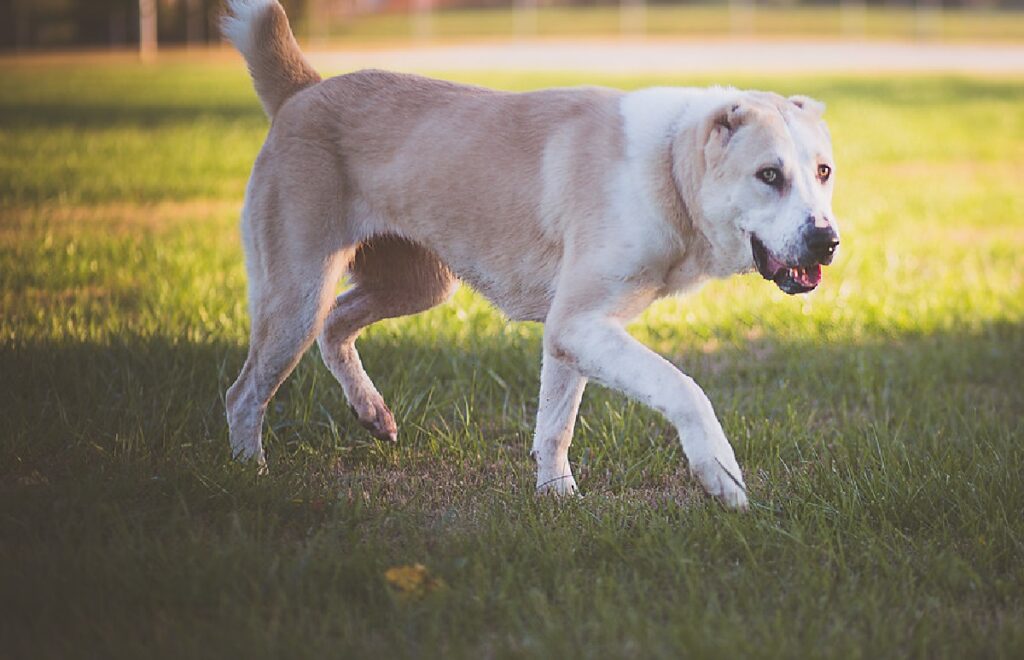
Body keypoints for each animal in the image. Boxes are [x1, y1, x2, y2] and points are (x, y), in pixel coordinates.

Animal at [220, 0, 835, 509]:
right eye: (769, 175)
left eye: (824, 172)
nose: (827, 242)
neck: (667, 168)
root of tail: (303, 91)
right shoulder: (579, 323)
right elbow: (684, 389)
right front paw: (721, 478)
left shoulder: (571, 333)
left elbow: (555, 424)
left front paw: (556, 494)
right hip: (297, 293)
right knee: (243, 393)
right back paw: (251, 475)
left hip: (417, 285)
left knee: (336, 324)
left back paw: (370, 411)